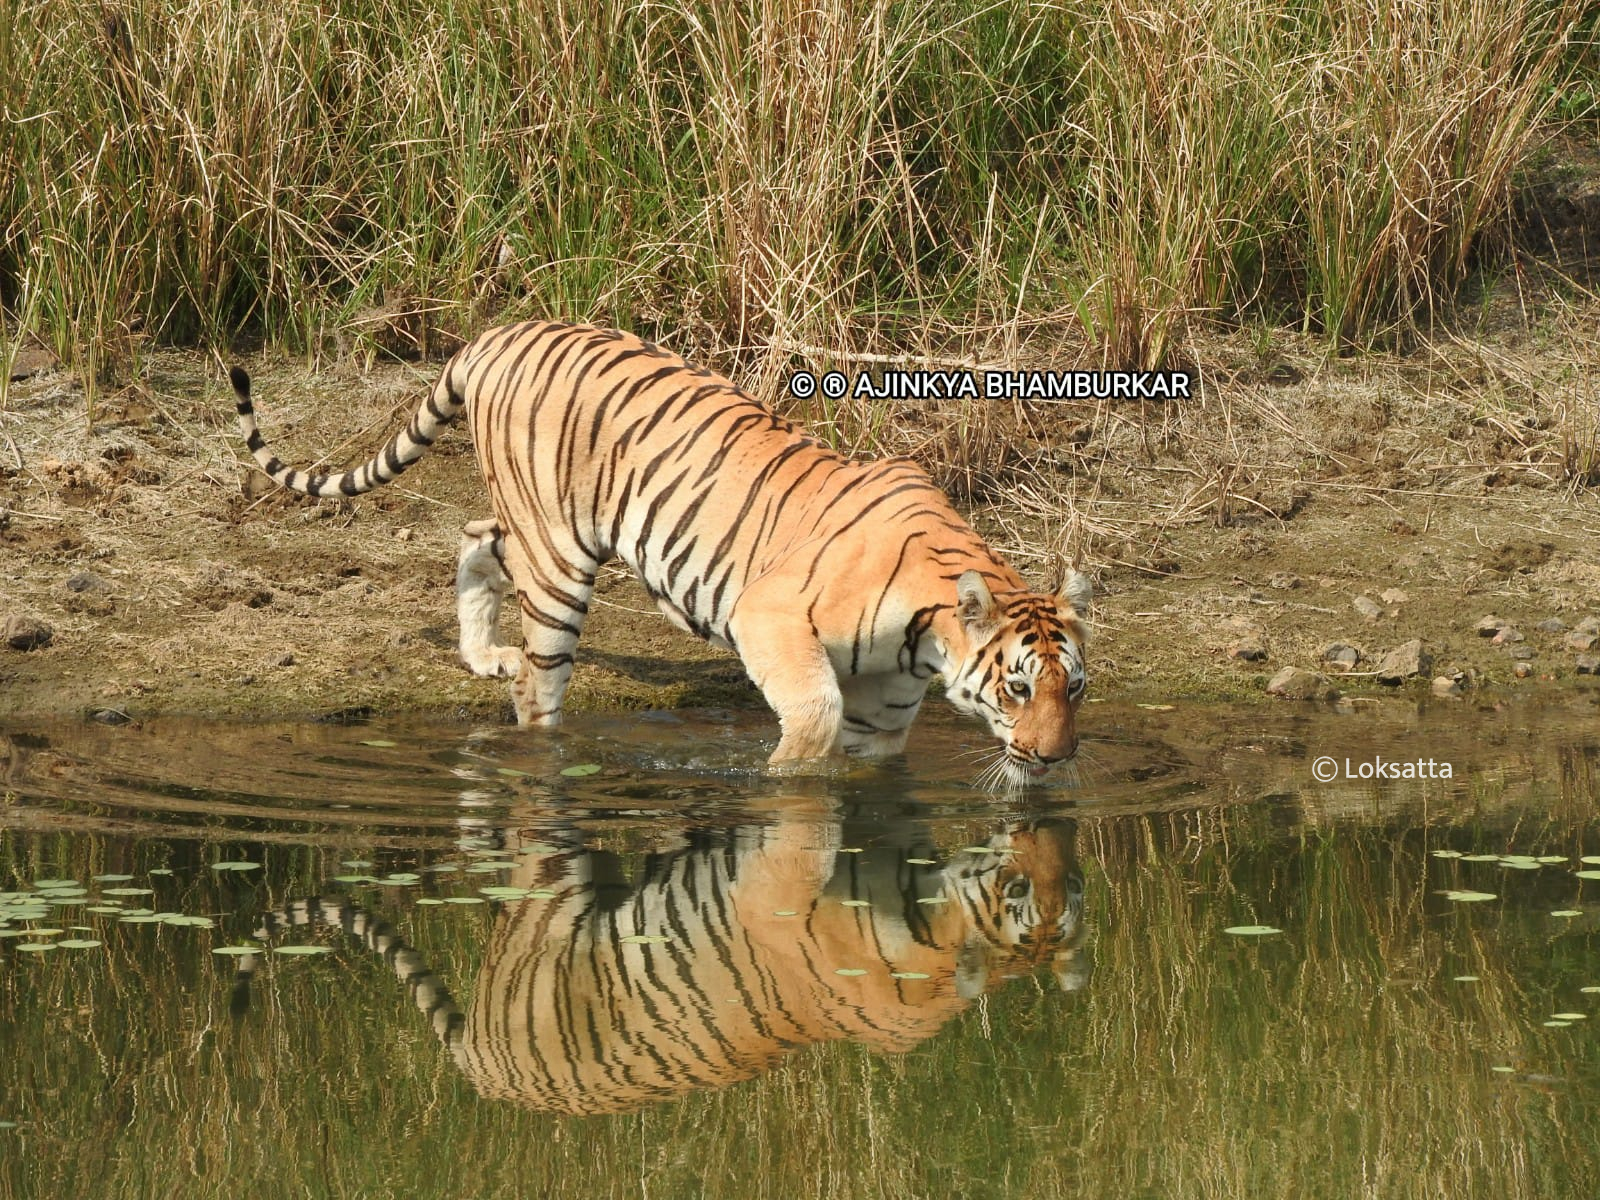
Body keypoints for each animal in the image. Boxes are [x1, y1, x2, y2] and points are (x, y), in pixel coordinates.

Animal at [233, 321, 1088, 790]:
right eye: (1016, 688)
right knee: (537, 691)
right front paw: (780, 791)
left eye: (1072, 689)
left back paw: (484, 657)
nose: (1052, 761)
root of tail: (495, 334)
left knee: (477, 538)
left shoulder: (883, 717)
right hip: (559, 561)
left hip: (531, 529)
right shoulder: (768, 617)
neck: (926, 640)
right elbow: (811, 720)